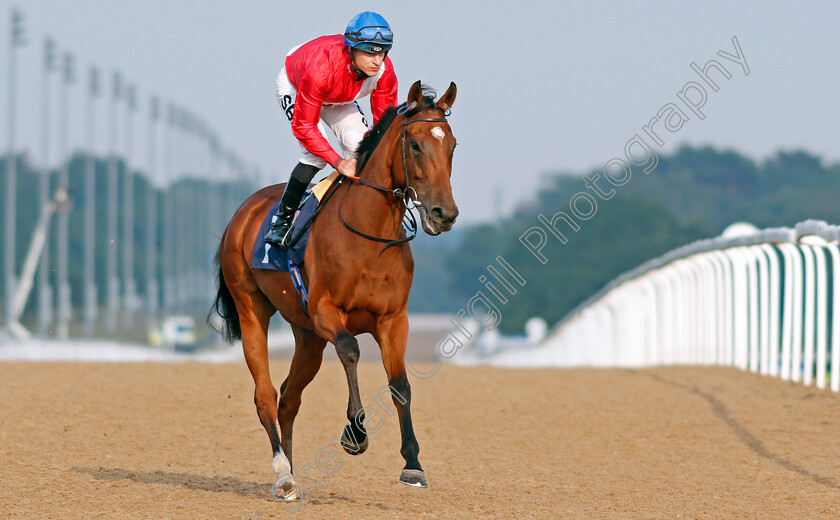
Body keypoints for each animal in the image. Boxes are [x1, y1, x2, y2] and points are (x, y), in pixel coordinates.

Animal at [210, 80, 460, 496]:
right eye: (415, 145)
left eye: (453, 144)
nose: (444, 214)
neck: (370, 235)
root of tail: (241, 214)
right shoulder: (326, 312)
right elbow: (350, 349)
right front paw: (355, 431)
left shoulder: (394, 320)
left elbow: (400, 385)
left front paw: (412, 464)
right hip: (252, 311)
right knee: (266, 394)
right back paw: (282, 471)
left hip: (307, 336)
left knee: (289, 398)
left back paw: (292, 471)